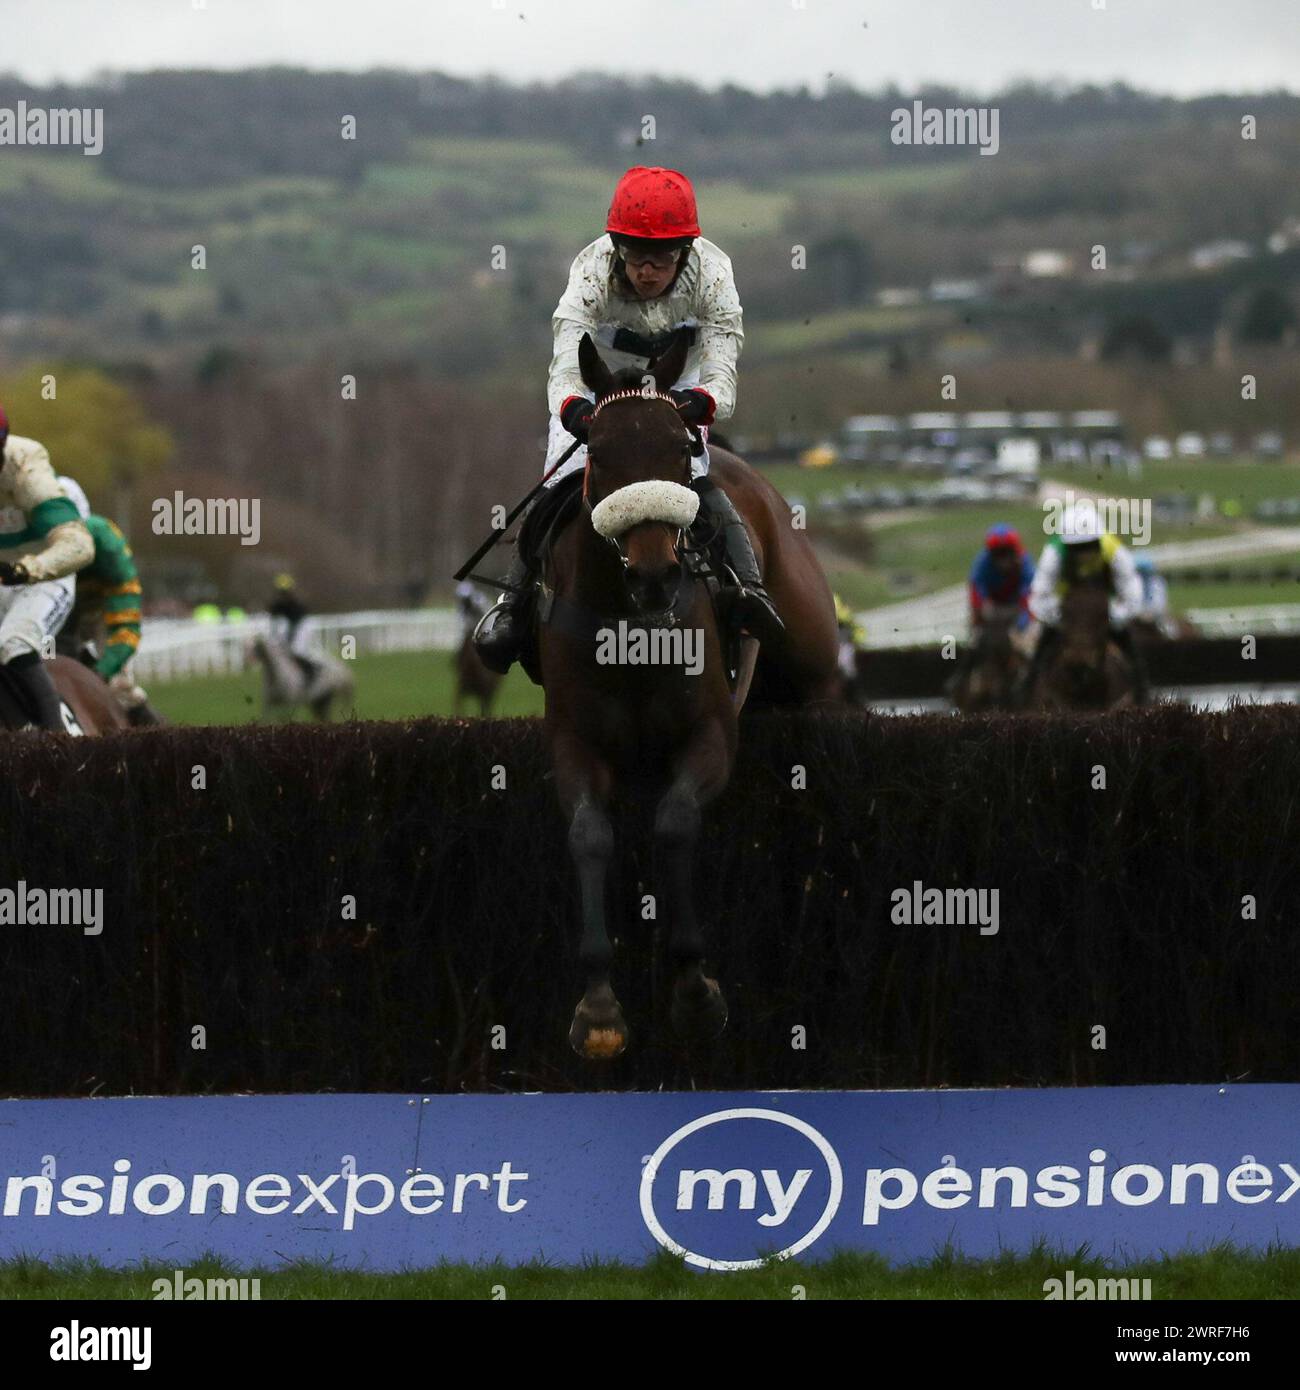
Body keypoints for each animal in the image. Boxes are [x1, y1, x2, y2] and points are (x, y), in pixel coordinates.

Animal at [539, 330, 845, 1056]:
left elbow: (676, 823)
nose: (655, 575)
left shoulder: (709, 734)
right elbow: (590, 834)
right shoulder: (574, 742)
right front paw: (598, 1006)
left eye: (678, 450)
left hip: (816, 674)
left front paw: (694, 988)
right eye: (599, 451)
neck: (630, 631)